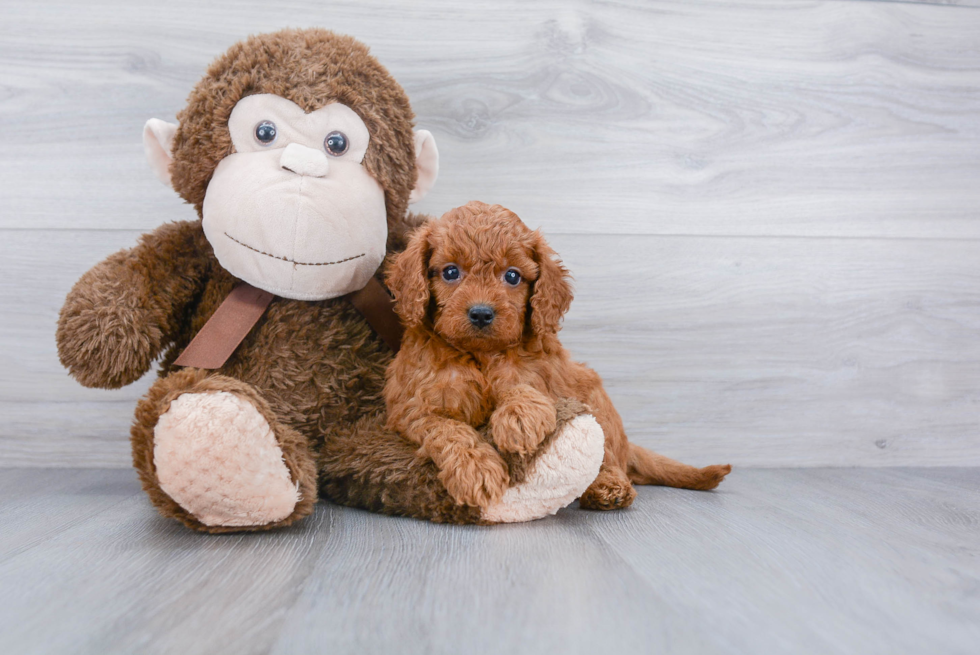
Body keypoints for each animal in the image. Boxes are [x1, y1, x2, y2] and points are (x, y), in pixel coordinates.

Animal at [382, 202, 728, 510]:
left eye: (512, 276)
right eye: (451, 271)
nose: (481, 313)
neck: (481, 355)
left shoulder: (548, 378)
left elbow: (524, 386)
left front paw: (518, 419)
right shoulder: (413, 407)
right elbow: (448, 430)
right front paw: (476, 470)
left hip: (596, 400)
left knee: (608, 456)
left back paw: (608, 486)